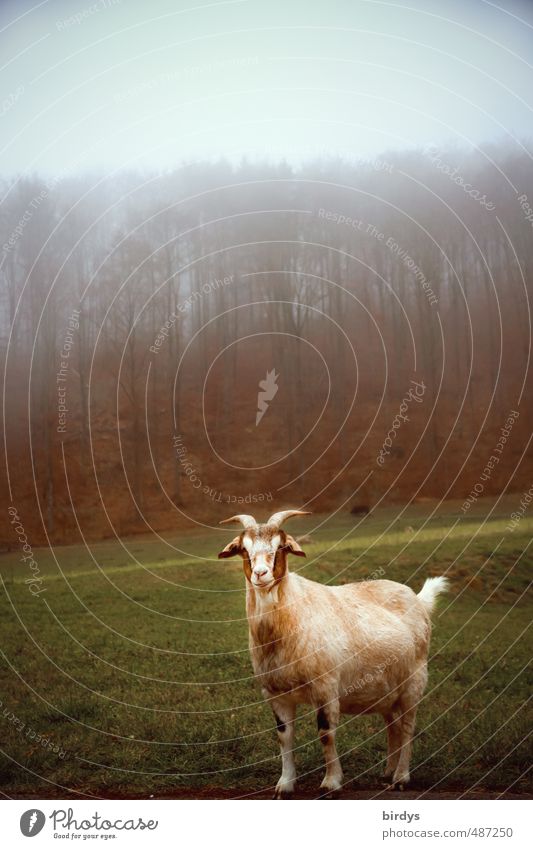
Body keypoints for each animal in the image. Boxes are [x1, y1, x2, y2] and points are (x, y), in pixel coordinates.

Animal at [218, 510, 446, 796]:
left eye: (280, 547)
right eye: (243, 549)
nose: (260, 574)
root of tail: (418, 599)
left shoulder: (326, 687)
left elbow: (326, 733)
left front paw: (331, 782)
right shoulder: (275, 692)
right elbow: (284, 735)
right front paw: (285, 784)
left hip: (414, 681)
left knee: (407, 726)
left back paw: (401, 778)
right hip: (387, 689)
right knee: (392, 725)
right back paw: (387, 773)